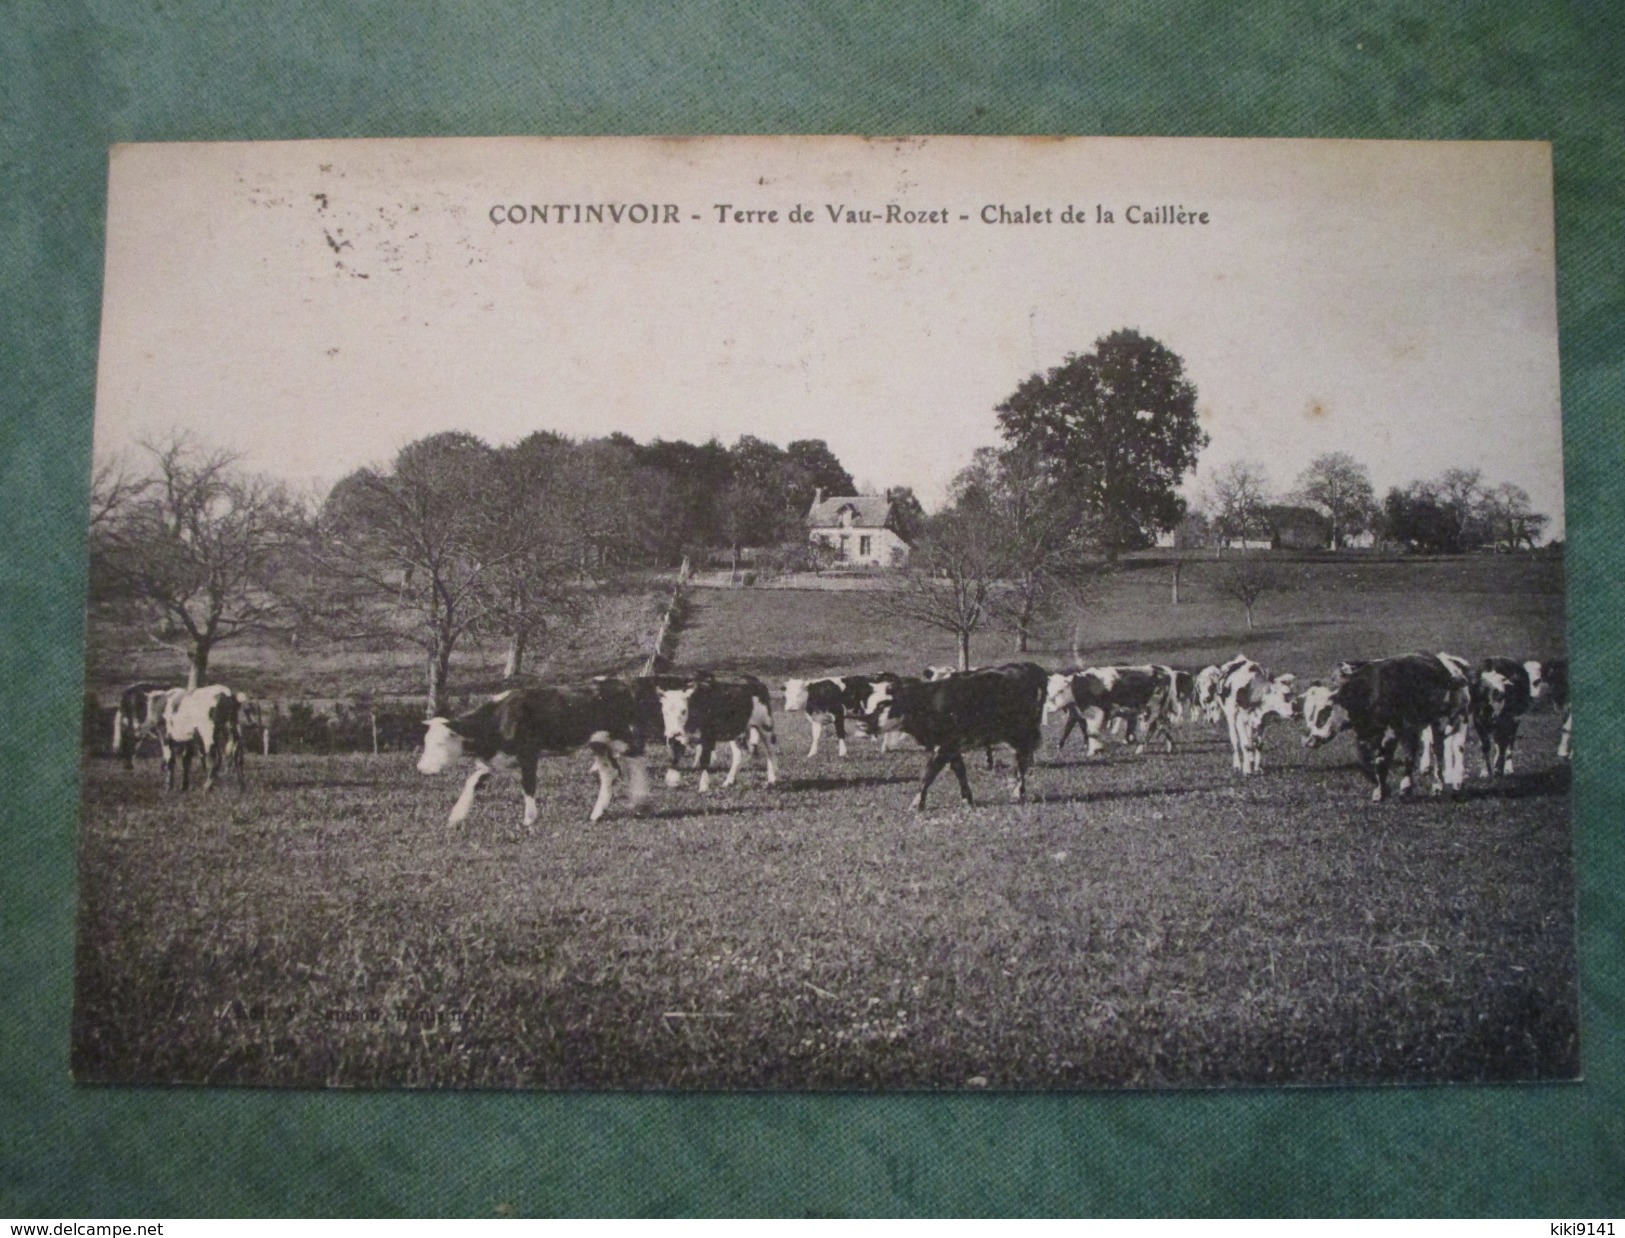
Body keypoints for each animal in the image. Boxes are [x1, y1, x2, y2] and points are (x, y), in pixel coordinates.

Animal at [416, 679, 650, 825]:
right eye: (426, 742)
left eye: (439, 743)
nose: (421, 767)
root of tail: (620, 684)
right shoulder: (494, 759)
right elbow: (472, 782)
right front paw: (457, 816)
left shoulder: (528, 753)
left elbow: (528, 784)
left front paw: (529, 818)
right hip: (598, 742)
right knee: (610, 771)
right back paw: (597, 813)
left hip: (620, 735)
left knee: (638, 756)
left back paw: (640, 800)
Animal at [858, 659, 1046, 805]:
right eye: (867, 702)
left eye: (883, 704)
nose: (861, 723)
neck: (928, 703)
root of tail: (1028, 666)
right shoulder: (952, 747)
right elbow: (960, 771)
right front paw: (967, 798)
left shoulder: (945, 746)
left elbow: (928, 773)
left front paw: (917, 802)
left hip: (1023, 735)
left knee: (1022, 763)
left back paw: (1018, 792)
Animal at [1046, 666, 1176, 753]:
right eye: (1049, 691)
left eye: (1060, 691)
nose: (1048, 707)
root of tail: (1164, 674)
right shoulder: (1077, 714)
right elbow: (1069, 728)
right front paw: (1060, 745)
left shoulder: (1103, 712)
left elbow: (1093, 732)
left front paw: (1095, 748)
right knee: (1165, 726)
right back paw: (1170, 747)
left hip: (1151, 711)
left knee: (1152, 728)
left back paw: (1141, 749)